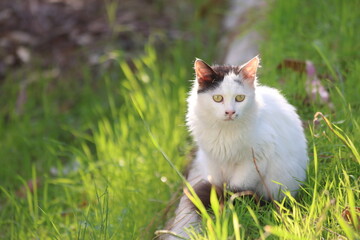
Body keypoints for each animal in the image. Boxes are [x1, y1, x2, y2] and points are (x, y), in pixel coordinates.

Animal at [162, 55, 308, 238]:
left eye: (240, 98)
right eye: (217, 98)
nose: (230, 112)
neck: (224, 132)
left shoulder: (255, 159)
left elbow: (236, 189)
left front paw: (227, 214)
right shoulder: (213, 160)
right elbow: (217, 188)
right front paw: (217, 212)